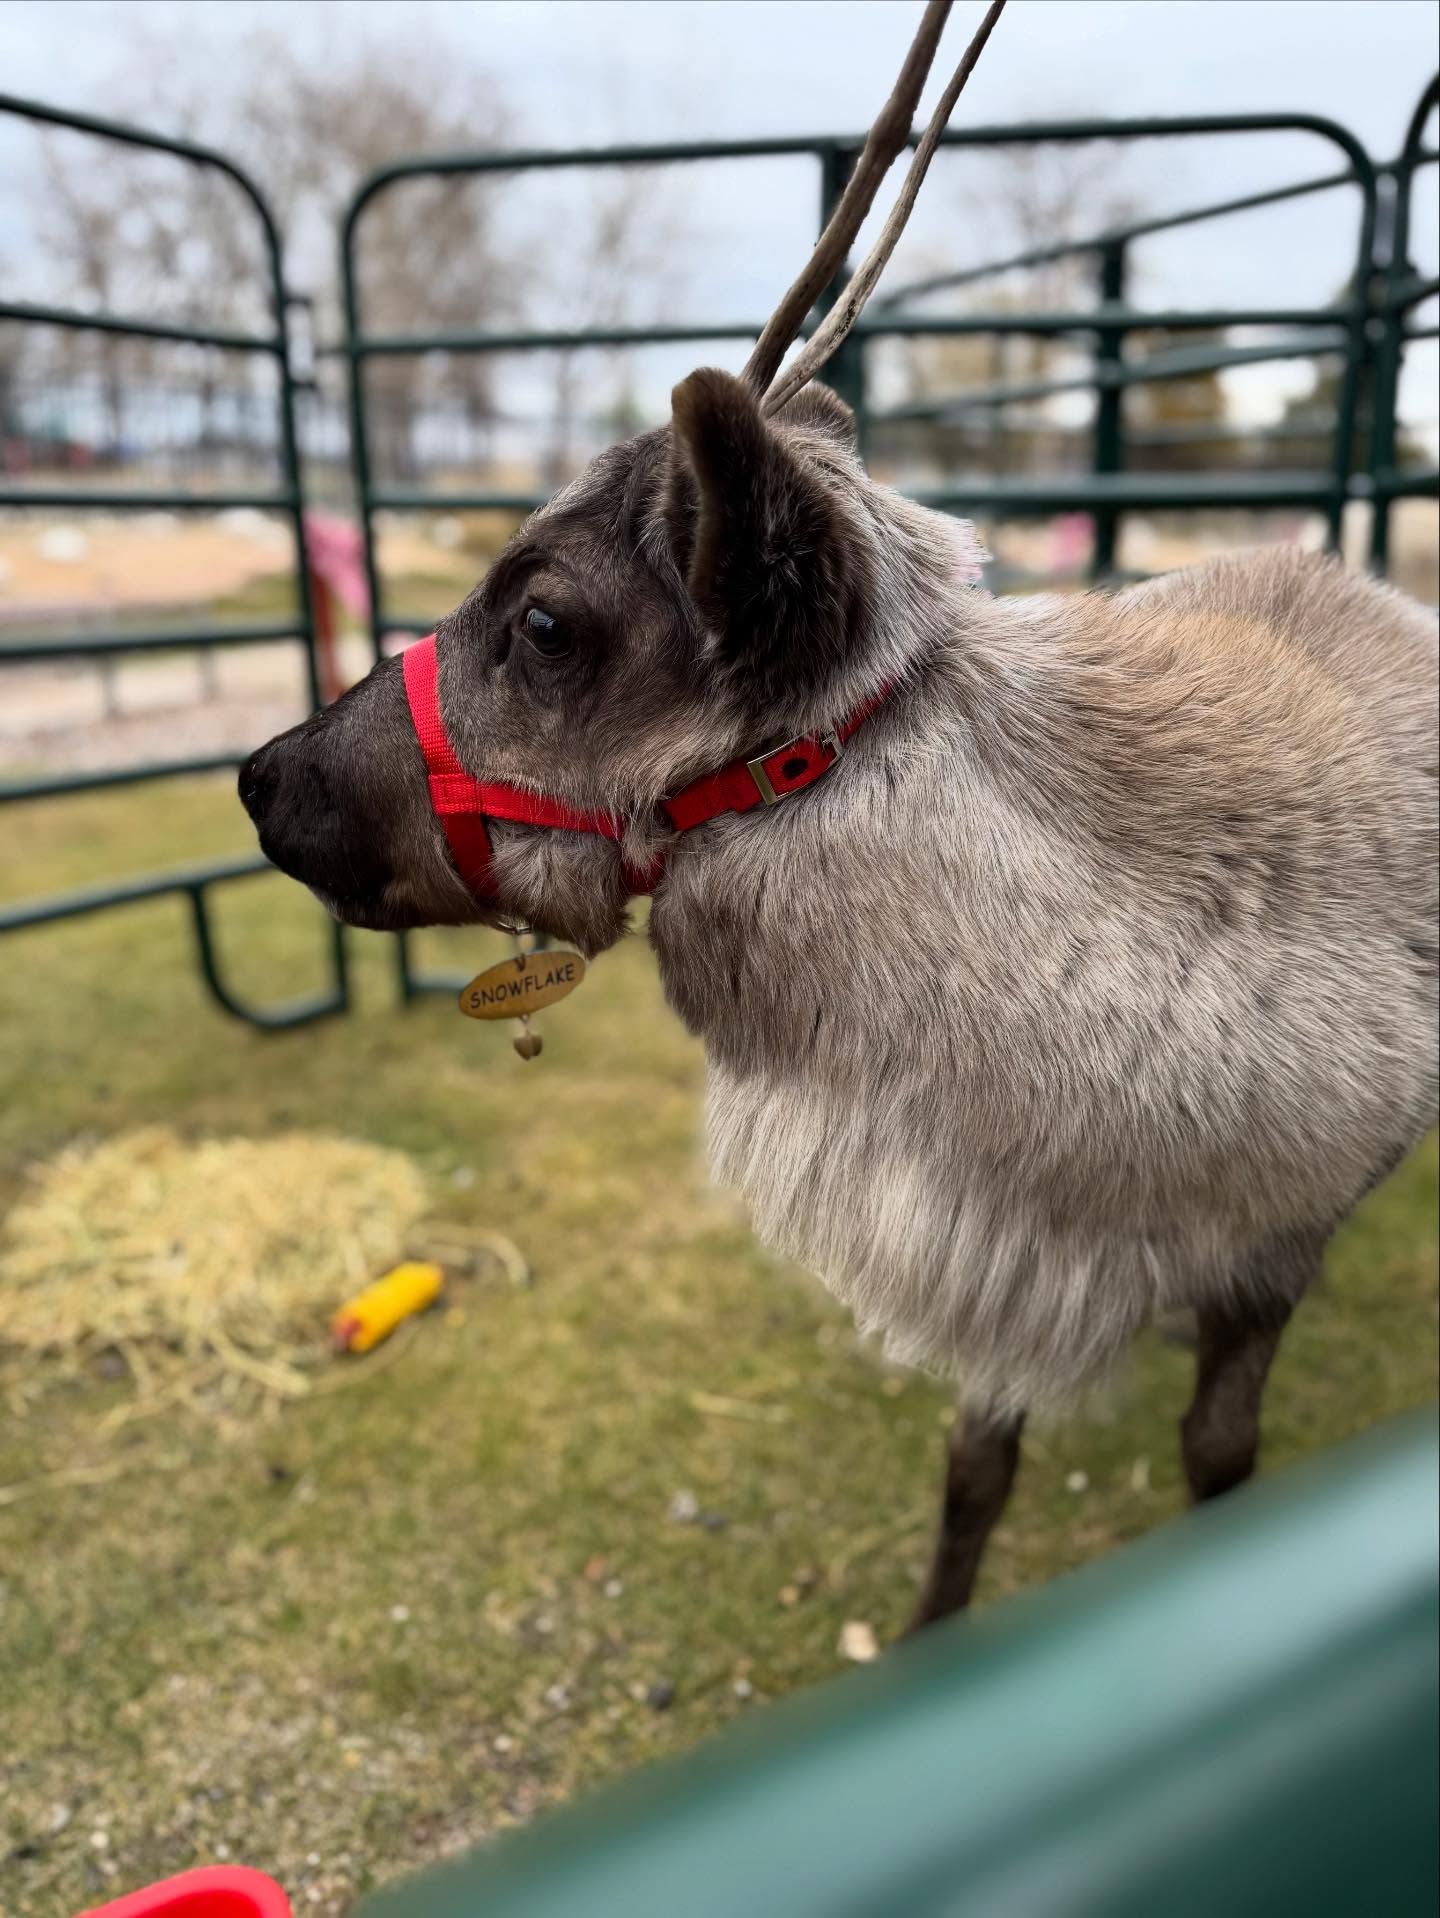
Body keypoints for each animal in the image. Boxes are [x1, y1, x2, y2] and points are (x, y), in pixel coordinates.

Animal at [241, 0, 1439, 1630]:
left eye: (545, 622)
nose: (265, 777)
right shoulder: (1003, 1255)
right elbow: (975, 1470)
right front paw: (936, 1632)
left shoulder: (1267, 1251)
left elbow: (1220, 1459)